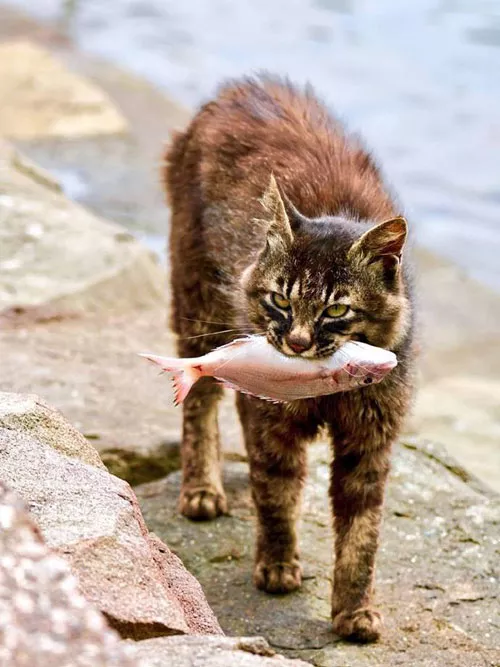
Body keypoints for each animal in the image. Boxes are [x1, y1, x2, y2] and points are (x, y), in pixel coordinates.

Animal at [163, 75, 414, 644]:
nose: (297, 343)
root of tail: (239, 87)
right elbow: (276, 490)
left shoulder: (369, 440)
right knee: (201, 401)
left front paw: (355, 610)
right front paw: (277, 566)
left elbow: (362, 533)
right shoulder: (274, 424)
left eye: (337, 309)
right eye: (281, 299)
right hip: (197, 304)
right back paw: (202, 488)